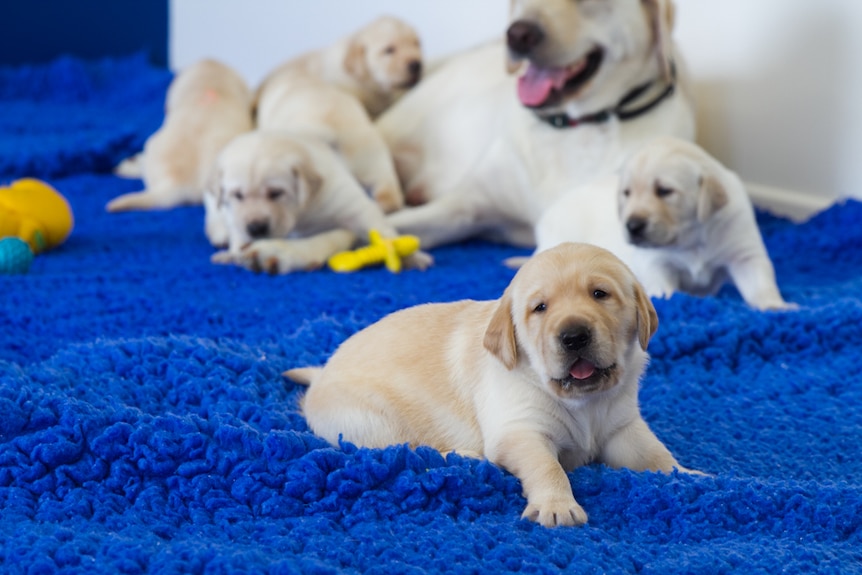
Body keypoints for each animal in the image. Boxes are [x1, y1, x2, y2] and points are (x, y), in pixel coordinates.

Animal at [203, 130, 432, 274]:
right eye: (237, 195)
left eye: (276, 193)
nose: (256, 228)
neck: (300, 214)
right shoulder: (234, 215)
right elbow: (238, 233)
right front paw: (234, 253)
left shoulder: (348, 203)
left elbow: (381, 230)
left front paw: (411, 256)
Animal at [286, 242, 700, 528]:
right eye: (540, 308)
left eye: (600, 293)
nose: (574, 336)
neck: (583, 404)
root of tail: (321, 374)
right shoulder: (519, 431)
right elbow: (548, 466)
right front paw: (557, 505)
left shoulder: (623, 427)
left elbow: (656, 454)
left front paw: (690, 476)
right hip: (372, 419)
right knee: (401, 449)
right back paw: (463, 455)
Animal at [540, 137, 796, 310]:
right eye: (627, 193)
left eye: (664, 191)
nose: (632, 226)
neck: (693, 240)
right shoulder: (656, 263)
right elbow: (665, 290)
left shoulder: (743, 253)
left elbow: (760, 284)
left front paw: (777, 307)